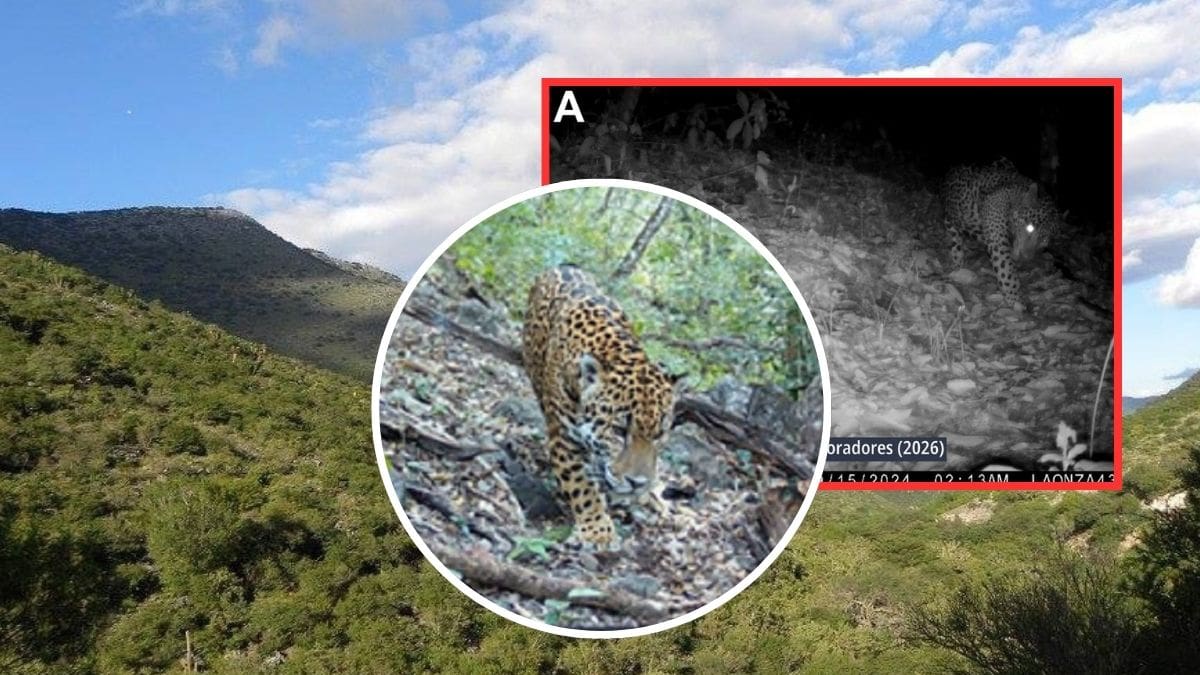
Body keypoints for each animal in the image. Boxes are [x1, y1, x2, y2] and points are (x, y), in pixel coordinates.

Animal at [520, 264, 681, 547]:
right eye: (618, 430)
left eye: (659, 434)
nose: (637, 483)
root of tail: (563, 265)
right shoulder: (564, 438)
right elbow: (581, 486)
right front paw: (597, 531)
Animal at [943, 163, 1061, 309]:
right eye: (1030, 227)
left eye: (1044, 240)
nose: (1026, 258)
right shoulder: (997, 241)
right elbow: (1007, 270)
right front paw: (1015, 299)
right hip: (950, 217)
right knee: (955, 237)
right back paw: (957, 259)